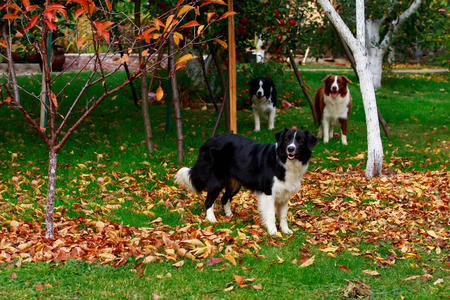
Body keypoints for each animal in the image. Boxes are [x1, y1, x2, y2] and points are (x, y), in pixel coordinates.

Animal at [174, 127, 318, 236]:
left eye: (300, 141)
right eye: (287, 139)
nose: (290, 149)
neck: (283, 161)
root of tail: (208, 141)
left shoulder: (284, 194)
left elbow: (283, 215)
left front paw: (285, 230)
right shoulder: (268, 192)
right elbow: (271, 214)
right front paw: (273, 232)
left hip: (234, 183)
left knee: (225, 198)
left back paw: (229, 216)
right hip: (217, 180)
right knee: (209, 200)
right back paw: (212, 219)